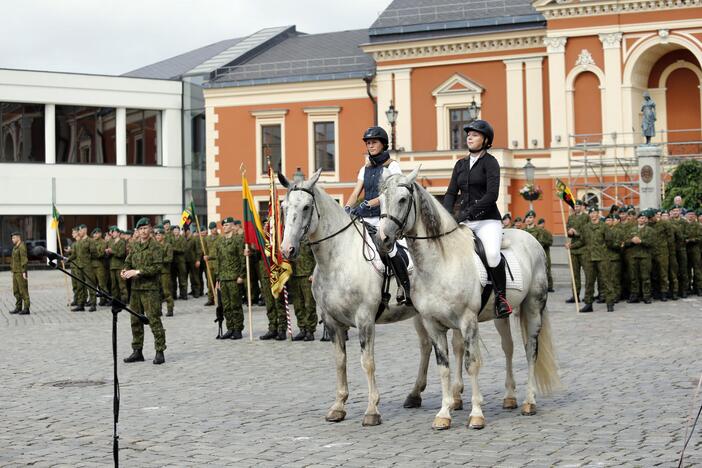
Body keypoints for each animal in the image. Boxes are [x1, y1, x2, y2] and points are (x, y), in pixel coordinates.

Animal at [278, 170, 470, 426]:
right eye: (284, 207)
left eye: (307, 207)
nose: (287, 249)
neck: (337, 259)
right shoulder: (332, 321)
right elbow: (340, 361)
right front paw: (338, 406)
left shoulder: (365, 319)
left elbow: (367, 362)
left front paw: (371, 410)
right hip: (420, 314)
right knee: (426, 346)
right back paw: (415, 394)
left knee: (457, 346)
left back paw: (455, 396)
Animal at [376, 169, 564, 432]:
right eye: (380, 200)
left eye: (403, 199)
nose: (382, 239)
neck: (441, 261)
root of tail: (530, 239)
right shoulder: (433, 324)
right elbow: (443, 367)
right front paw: (444, 414)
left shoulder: (467, 321)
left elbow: (471, 363)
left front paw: (476, 415)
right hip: (499, 315)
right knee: (508, 347)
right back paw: (509, 397)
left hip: (533, 308)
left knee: (530, 351)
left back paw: (529, 402)